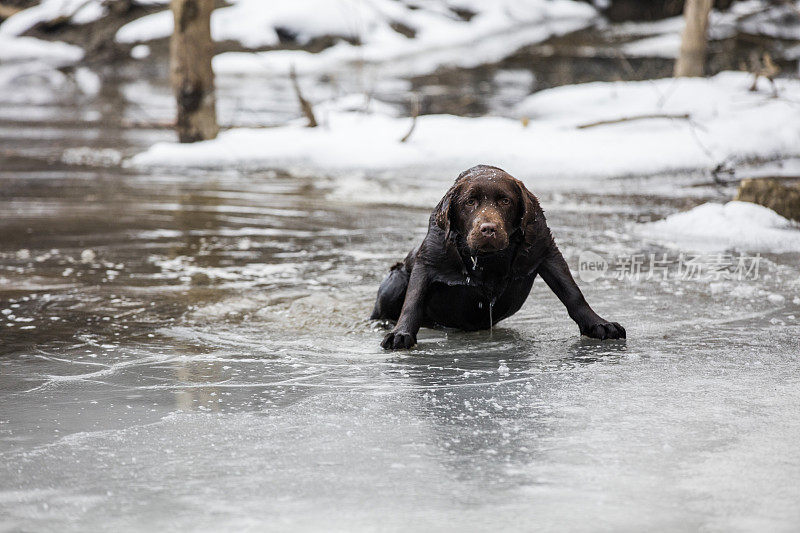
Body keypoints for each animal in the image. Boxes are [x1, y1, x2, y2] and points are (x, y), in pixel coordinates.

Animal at [368, 166, 624, 350]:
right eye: (469, 202)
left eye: (505, 201)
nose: (488, 229)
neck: (488, 260)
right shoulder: (428, 260)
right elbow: (413, 300)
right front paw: (401, 334)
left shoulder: (545, 250)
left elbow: (572, 293)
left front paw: (598, 324)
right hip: (396, 278)